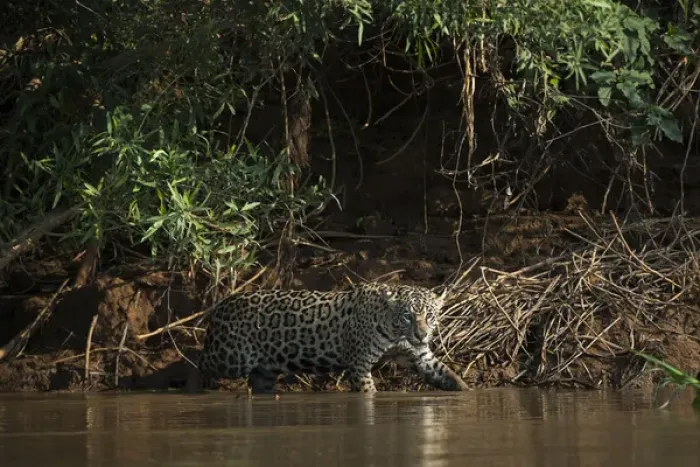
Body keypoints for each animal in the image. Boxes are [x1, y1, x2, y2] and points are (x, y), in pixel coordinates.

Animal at [186, 282, 470, 393]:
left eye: (430, 316)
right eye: (408, 316)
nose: (422, 334)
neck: (393, 330)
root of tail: (221, 305)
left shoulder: (421, 357)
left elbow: (447, 374)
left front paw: (468, 393)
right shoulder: (359, 365)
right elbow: (369, 392)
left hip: (264, 369)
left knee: (259, 383)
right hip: (231, 357)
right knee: (200, 361)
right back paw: (193, 387)